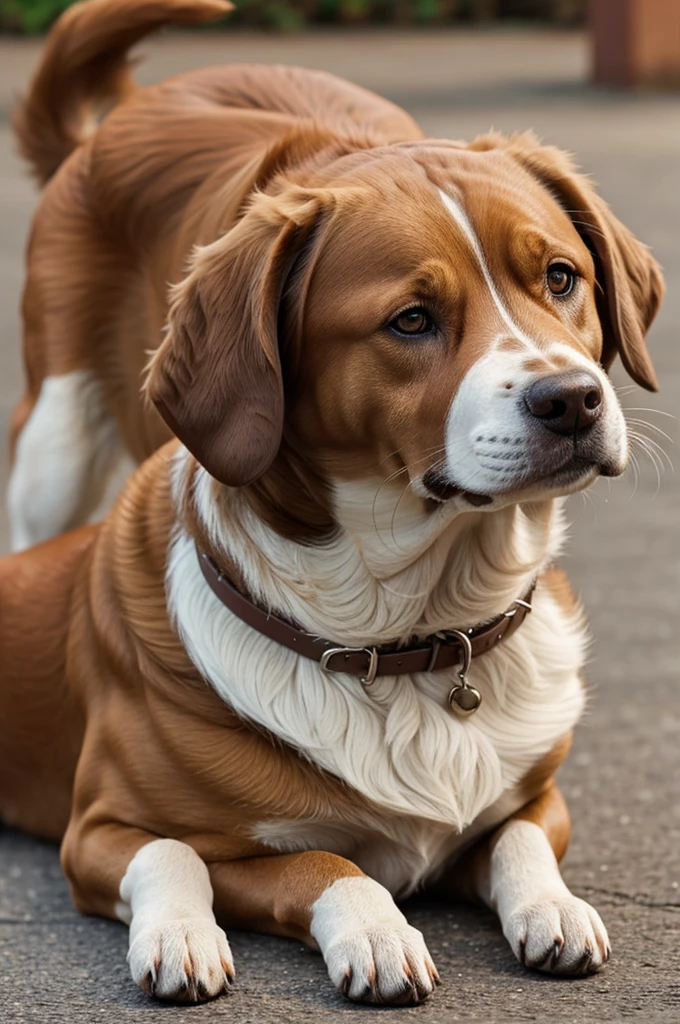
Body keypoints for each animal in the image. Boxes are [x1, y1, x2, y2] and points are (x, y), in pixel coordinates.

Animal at [2, 0, 667, 1007]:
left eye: (561, 277)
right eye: (411, 321)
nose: (574, 400)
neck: (414, 627)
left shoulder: (536, 800)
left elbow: (517, 834)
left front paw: (552, 905)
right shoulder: (101, 832)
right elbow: (270, 858)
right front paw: (357, 929)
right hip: (57, 442)